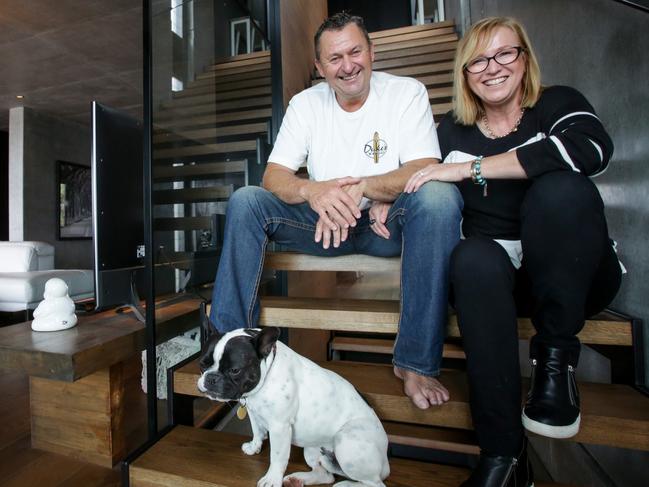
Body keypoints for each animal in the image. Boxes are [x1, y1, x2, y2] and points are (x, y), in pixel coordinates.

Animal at [197, 322, 388, 486]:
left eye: (235, 370)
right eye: (202, 364)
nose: (211, 378)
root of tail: (385, 460)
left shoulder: (279, 427)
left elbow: (277, 456)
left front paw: (272, 479)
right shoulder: (253, 412)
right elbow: (257, 431)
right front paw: (254, 447)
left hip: (346, 443)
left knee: (375, 483)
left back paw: (345, 485)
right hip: (312, 448)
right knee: (325, 475)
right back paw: (298, 480)